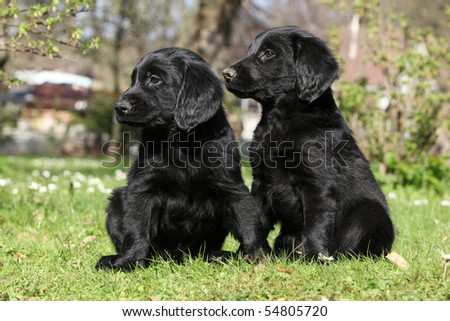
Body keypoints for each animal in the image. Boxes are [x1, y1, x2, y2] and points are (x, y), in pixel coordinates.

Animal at [96, 47, 270, 270]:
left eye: (154, 79)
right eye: (133, 80)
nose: (119, 107)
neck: (181, 141)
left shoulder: (231, 187)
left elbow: (249, 223)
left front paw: (261, 257)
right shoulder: (142, 188)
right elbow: (136, 228)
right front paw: (129, 261)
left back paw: (219, 255)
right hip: (118, 199)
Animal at [223, 25, 396, 260]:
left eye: (268, 53)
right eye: (250, 49)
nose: (226, 73)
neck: (280, 121)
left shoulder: (316, 182)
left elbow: (316, 221)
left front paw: (315, 256)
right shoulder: (261, 180)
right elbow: (256, 217)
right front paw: (249, 254)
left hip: (368, 213)